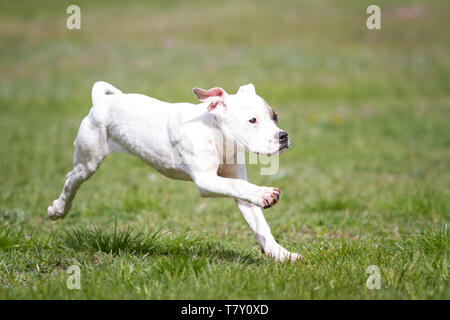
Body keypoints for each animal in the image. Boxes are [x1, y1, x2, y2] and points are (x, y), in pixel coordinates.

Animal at [48, 82, 298, 262]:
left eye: (275, 116)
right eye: (252, 120)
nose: (283, 136)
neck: (216, 134)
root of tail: (101, 101)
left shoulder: (235, 181)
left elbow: (259, 223)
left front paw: (281, 254)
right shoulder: (206, 181)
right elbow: (239, 186)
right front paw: (264, 193)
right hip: (88, 161)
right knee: (71, 180)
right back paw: (57, 209)